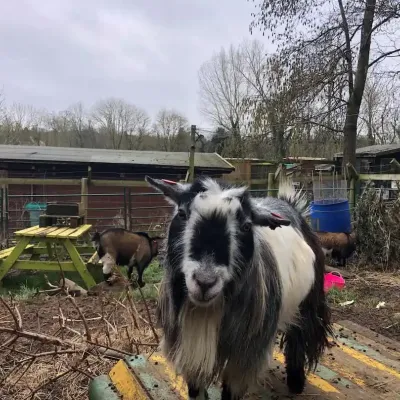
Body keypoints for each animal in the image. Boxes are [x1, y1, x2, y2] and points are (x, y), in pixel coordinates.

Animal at [145, 177, 332, 400]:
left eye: (246, 226)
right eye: (181, 214)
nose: (205, 281)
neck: (207, 312)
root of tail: (289, 204)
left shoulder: (243, 357)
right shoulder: (191, 347)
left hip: (309, 301)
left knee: (299, 335)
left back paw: (296, 381)